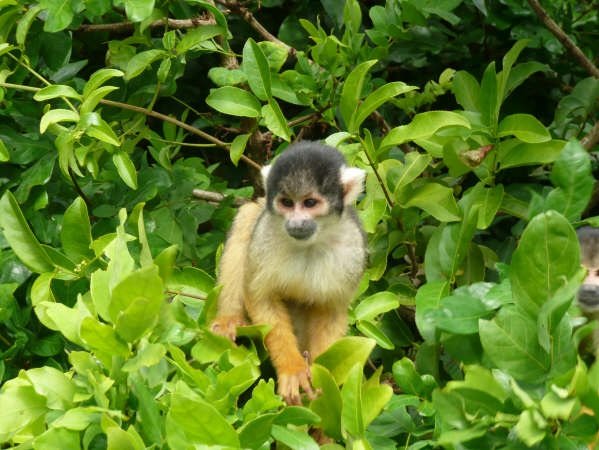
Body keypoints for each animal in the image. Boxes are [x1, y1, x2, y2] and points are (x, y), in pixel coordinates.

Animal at [213, 142, 368, 404]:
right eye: (286, 202)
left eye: (309, 203)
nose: (296, 223)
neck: (310, 243)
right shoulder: (264, 236)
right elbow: (261, 296)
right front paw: (293, 371)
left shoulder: (352, 251)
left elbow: (331, 311)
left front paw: (321, 376)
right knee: (249, 216)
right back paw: (229, 319)